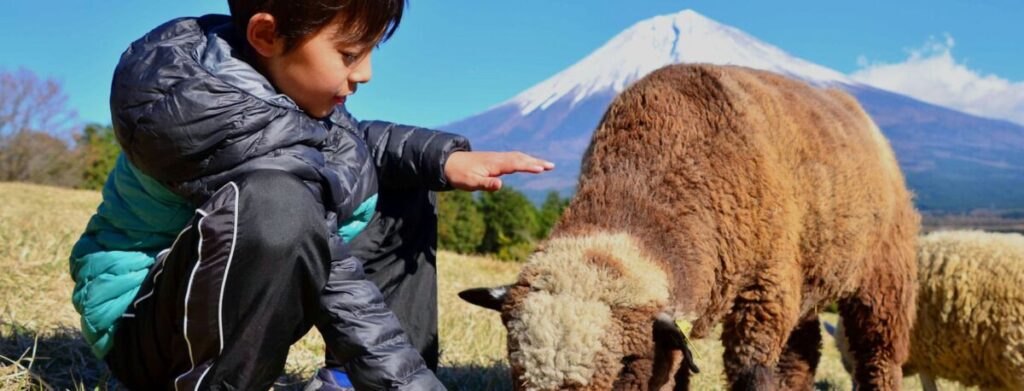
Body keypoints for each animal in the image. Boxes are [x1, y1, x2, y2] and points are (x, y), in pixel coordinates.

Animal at [460, 64, 917, 390]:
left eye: (626, 365)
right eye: (514, 363)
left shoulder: (763, 289)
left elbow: (752, 370)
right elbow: (680, 368)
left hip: (883, 278)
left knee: (877, 358)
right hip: (806, 278)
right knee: (801, 353)